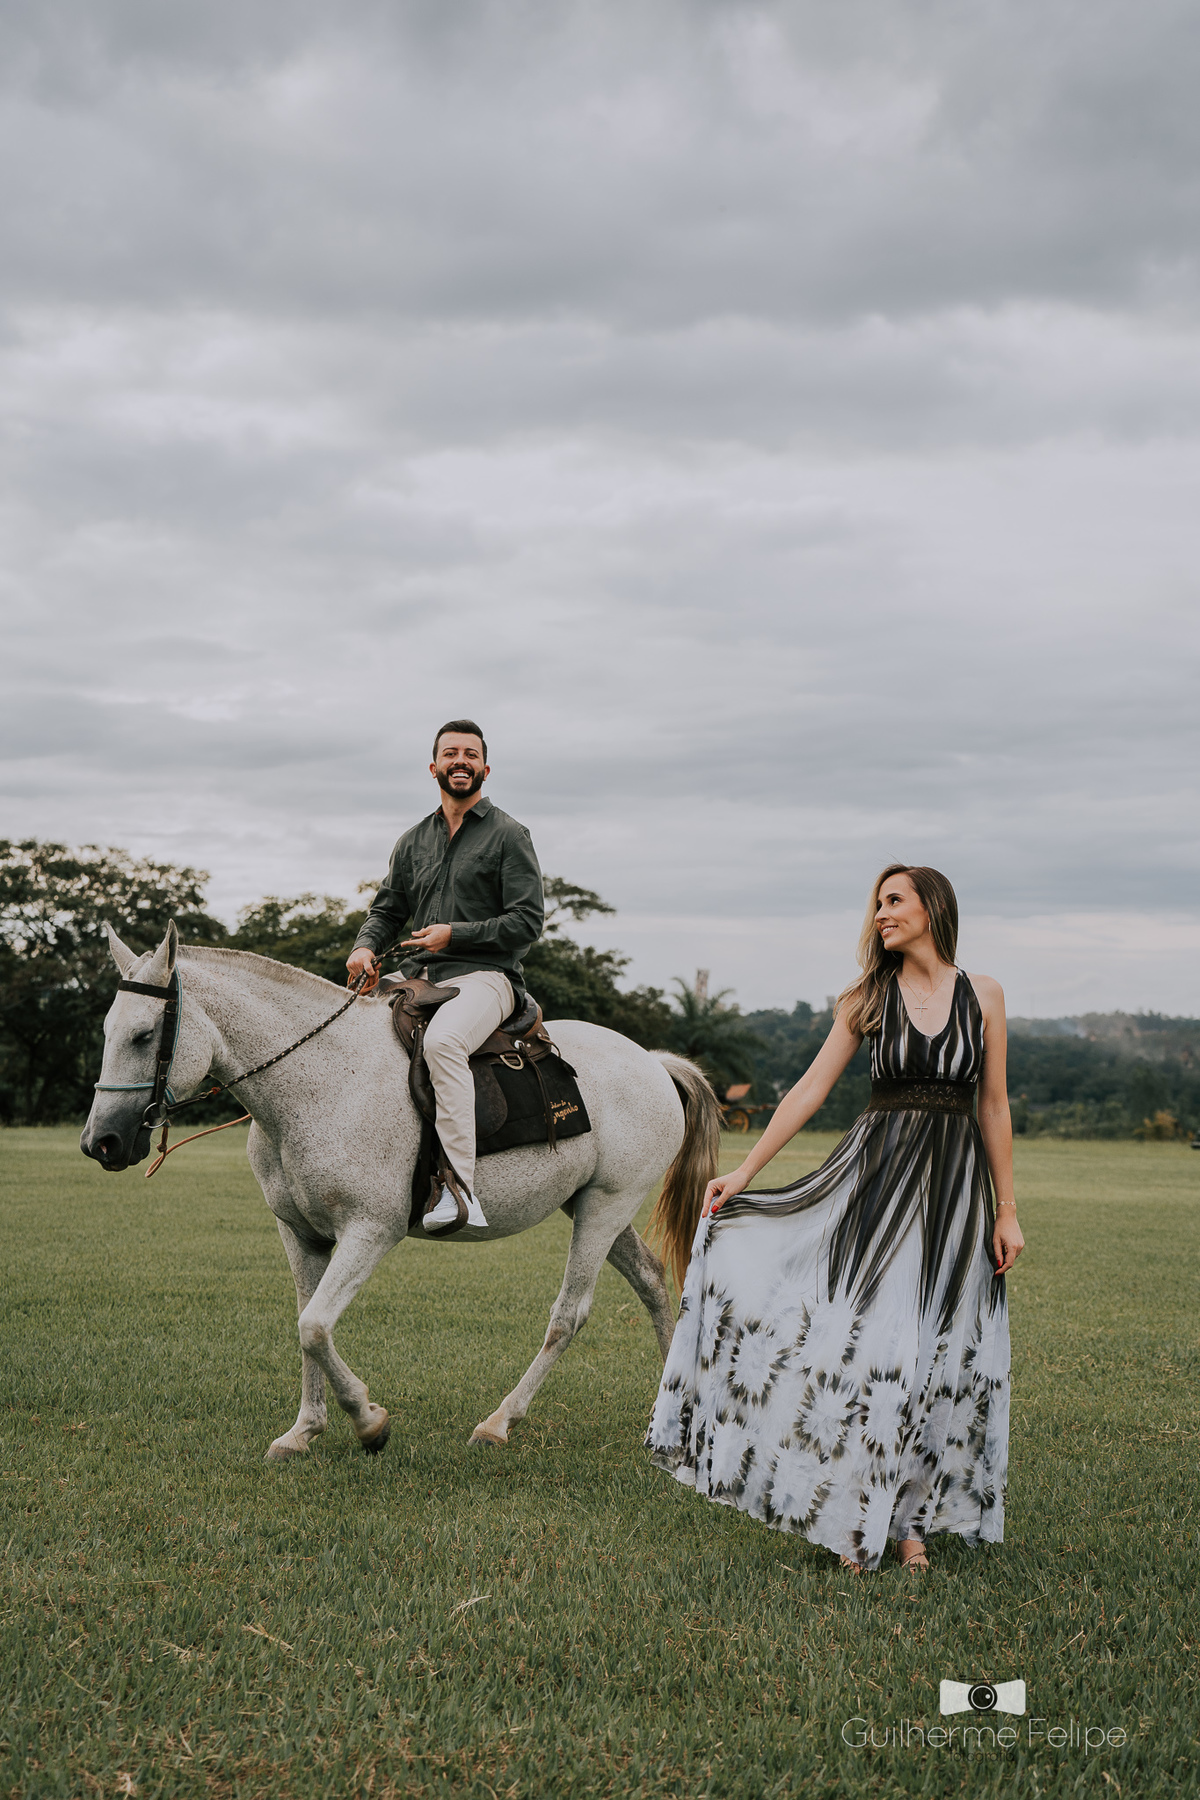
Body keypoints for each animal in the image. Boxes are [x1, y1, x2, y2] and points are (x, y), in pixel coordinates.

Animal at [80, 922, 719, 1460]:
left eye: (143, 1035)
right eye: (106, 1031)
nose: (100, 1143)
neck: (319, 1082)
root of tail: (653, 1062)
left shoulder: (370, 1230)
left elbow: (314, 1327)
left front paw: (369, 1423)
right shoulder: (301, 1235)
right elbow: (306, 1324)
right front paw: (304, 1431)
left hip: (605, 1206)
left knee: (570, 1314)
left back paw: (499, 1422)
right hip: (591, 1206)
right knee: (652, 1280)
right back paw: (669, 1418)